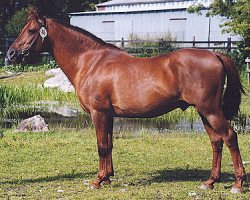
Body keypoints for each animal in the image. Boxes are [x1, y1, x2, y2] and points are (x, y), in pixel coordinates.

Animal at [6, 10, 245, 193]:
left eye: (31, 30)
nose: (10, 54)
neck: (90, 62)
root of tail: (215, 55)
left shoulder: (98, 113)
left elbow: (101, 145)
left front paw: (97, 180)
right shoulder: (109, 115)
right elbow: (109, 144)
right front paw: (108, 177)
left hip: (211, 110)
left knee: (230, 137)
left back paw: (238, 184)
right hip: (204, 112)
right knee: (216, 141)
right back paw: (210, 182)